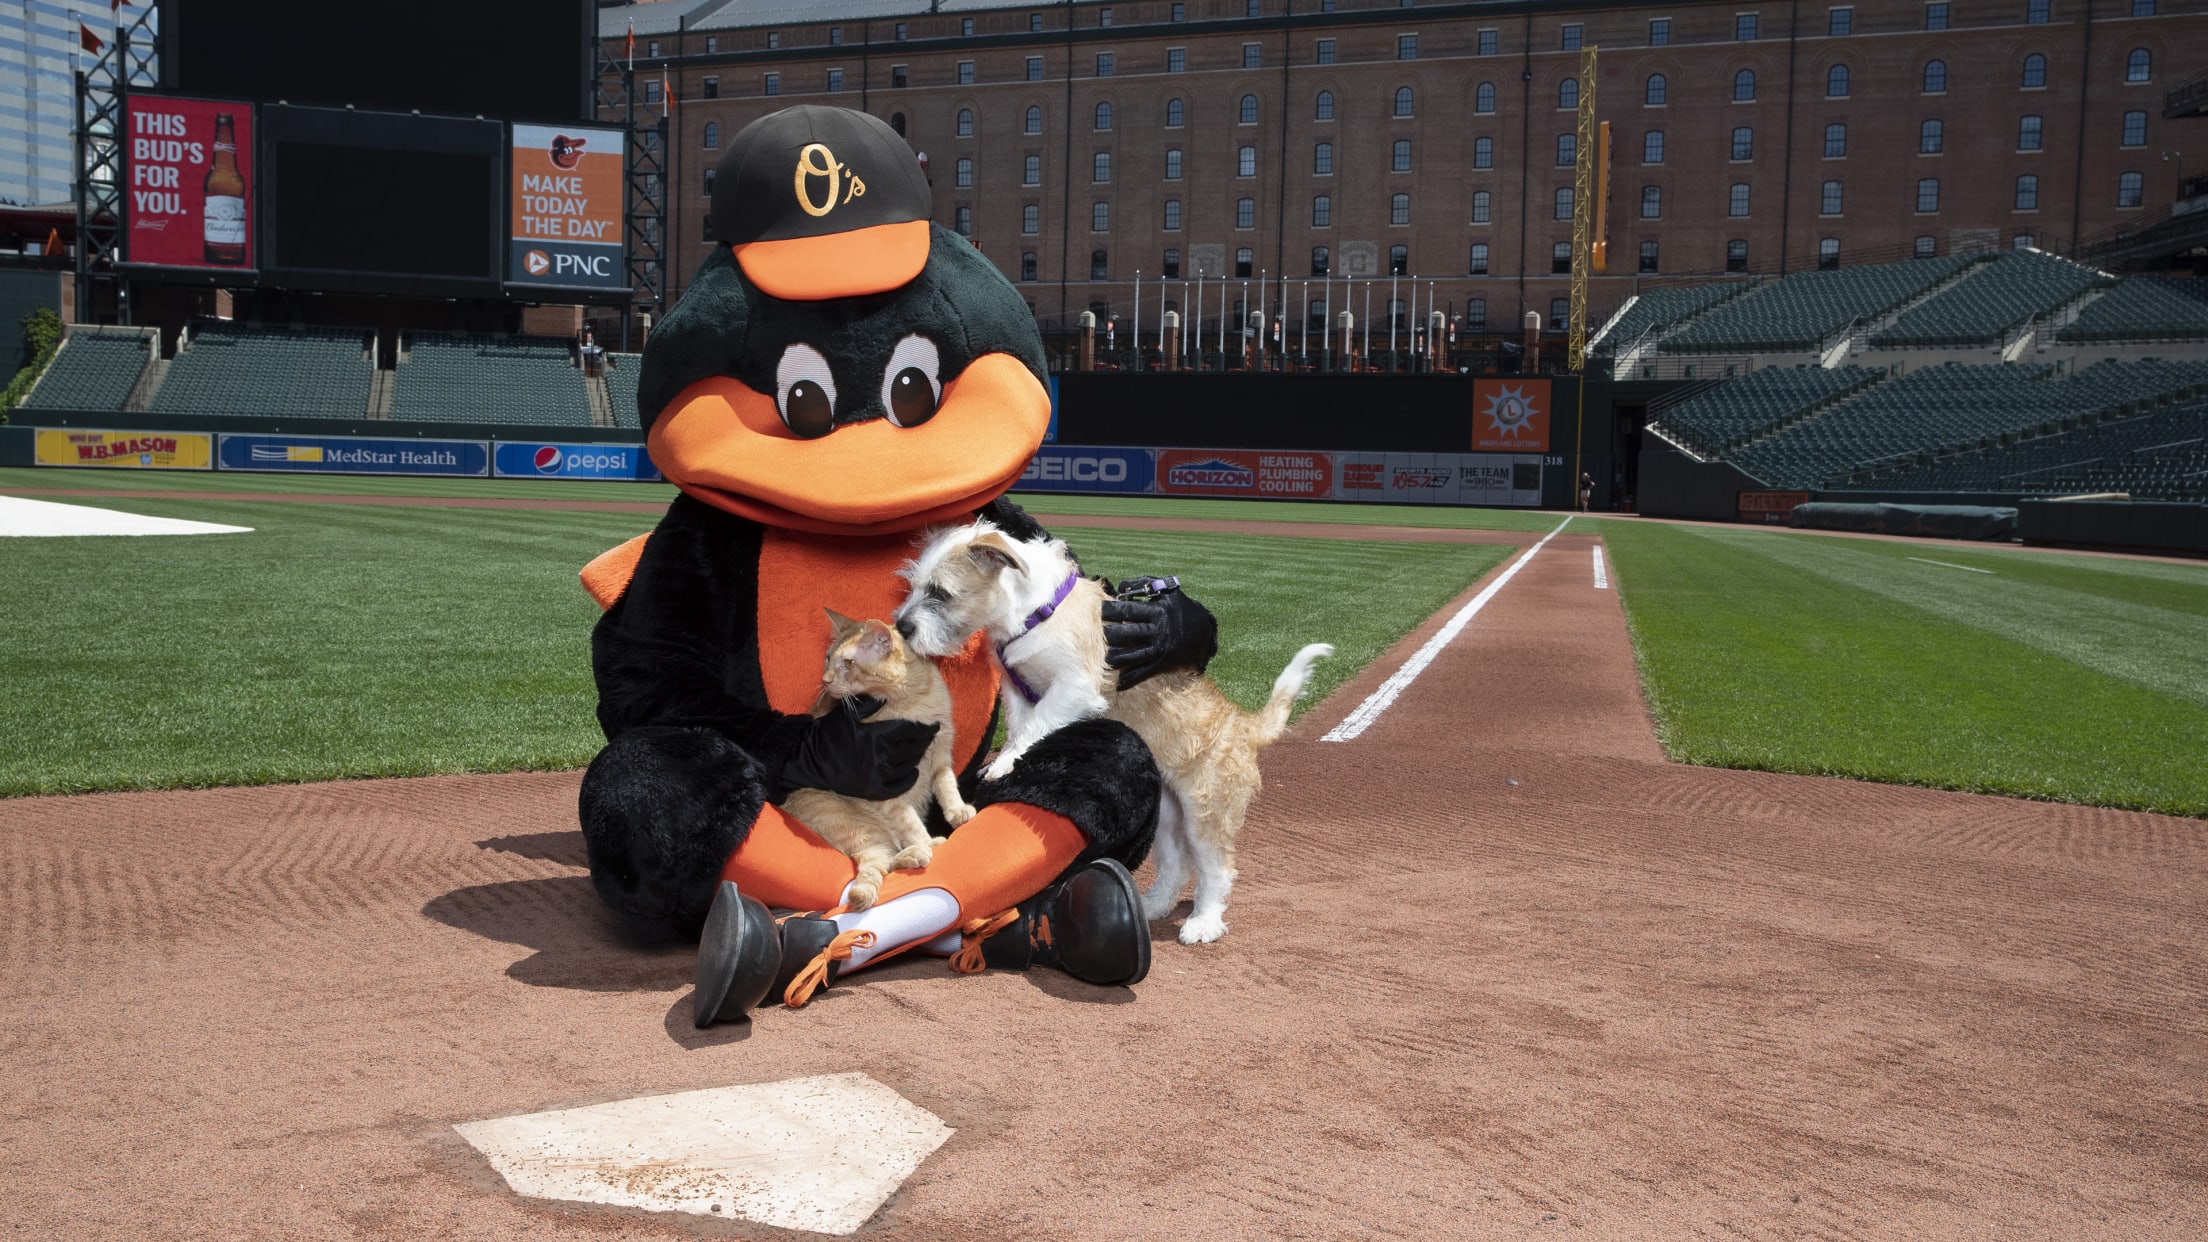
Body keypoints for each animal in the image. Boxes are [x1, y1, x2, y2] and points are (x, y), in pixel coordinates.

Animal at [786, 609, 975, 910]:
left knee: (884, 860)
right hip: (852, 821)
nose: (825, 680)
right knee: (881, 858)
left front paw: (957, 811)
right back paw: (922, 849)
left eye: (848, 662)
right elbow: (910, 821)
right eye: (828, 658)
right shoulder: (887, 790)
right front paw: (927, 840)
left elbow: (946, 785)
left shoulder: (941, 749)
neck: (911, 703)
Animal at [892, 519, 1324, 937]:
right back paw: (1152, 906)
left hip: (1206, 812)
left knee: (1217, 869)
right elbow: (1021, 727)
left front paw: (1003, 764)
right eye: (913, 586)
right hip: (1169, 816)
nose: (901, 627)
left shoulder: (1074, 687)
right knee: (1177, 864)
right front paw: (1006, 758)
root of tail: (1245, 725)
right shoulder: (1017, 692)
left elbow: (1036, 725)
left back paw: (1204, 922)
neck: (1035, 614)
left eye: (941, 592)